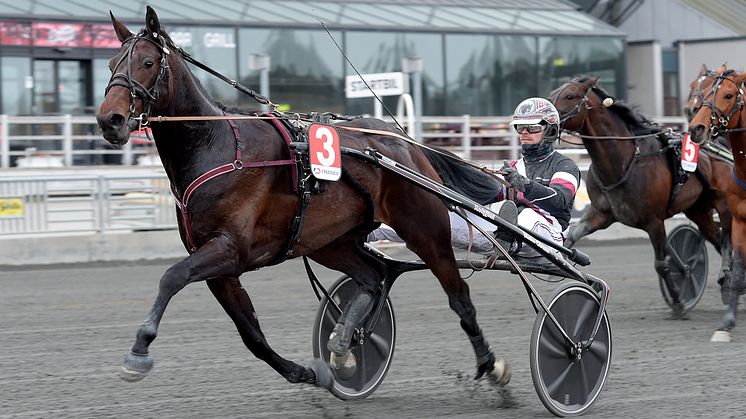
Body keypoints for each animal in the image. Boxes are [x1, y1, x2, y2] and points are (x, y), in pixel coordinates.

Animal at [97, 5, 512, 394]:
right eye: (111, 64)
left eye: (148, 63)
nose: (109, 120)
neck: (215, 146)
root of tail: (405, 141)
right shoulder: (221, 265)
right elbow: (251, 333)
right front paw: (306, 372)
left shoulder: (228, 249)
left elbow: (171, 276)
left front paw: (138, 351)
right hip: (329, 240)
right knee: (373, 276)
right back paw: (343, 344)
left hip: (424, 228)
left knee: (459, 296)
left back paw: (491, 365)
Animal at [548, 76, 728, 318]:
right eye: (551, 94)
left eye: (569, 96)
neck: (624, 162)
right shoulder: (601, 214)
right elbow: (572, 235)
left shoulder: (654, 222)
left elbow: (662, 264)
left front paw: (679, 302)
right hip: (698, 210)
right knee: (716, 237)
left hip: (720, 202)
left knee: (726, 239)